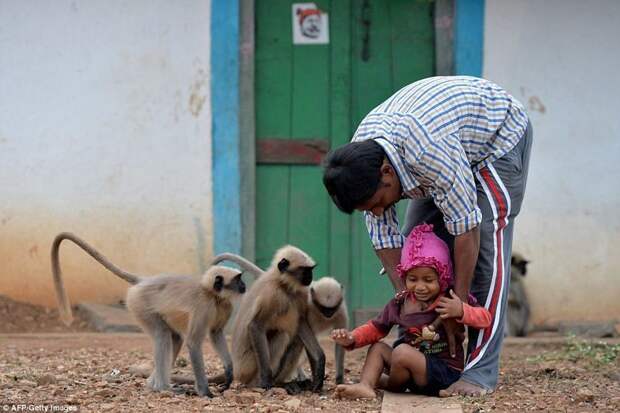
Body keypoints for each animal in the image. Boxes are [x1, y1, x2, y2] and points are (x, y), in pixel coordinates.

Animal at [50, 232, 246, 396]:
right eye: (238, 280)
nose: (244, 286)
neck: (213, 295)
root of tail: (144, 281)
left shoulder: (225, 305)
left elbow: (215, 333)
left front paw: (229, 371)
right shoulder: (203, 306)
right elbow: (194, 343)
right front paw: (205, 392)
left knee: (174, 338)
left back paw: (153, 385)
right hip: (139, 305)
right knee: (163, 335)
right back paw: (163, 388)